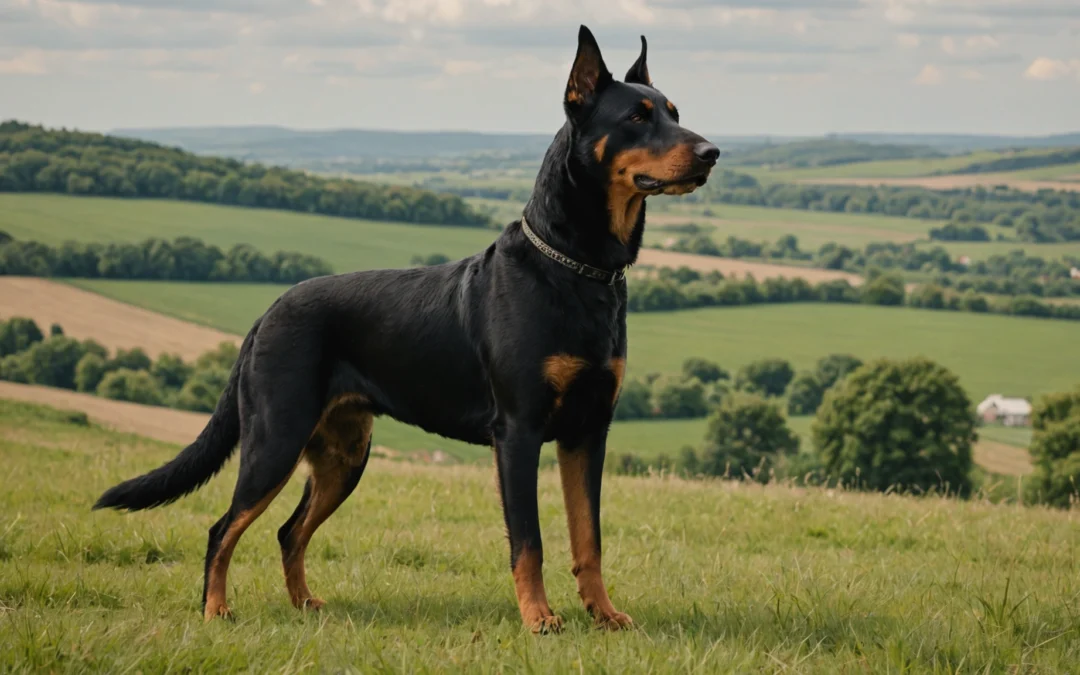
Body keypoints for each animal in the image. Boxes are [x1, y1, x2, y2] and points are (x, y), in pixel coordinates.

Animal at [95, 23, 717, 630]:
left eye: (674, 111)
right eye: (636, 117)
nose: (712, 152)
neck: (577, 266)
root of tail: (267, 312)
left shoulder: (587, 432)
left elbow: (589, 538)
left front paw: (603, 614)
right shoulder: (518, 433)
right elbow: (529, 542)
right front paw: (538, 619)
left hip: (344, 455)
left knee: (288, 530)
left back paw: (304, 605)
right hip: (276, 440)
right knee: (223, 529)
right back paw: (215, 610)